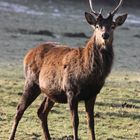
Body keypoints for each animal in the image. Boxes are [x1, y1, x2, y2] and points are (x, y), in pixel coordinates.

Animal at [8, 0, 127, 139]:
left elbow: (91, 122)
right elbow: (75, 121)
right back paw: (11, 136)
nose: (105, 35)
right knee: (19, 109)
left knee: (41, 112)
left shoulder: (93, 94)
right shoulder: (71, 90)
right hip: (31, 81)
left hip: (51, 91)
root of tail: (27, 54)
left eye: (113, 25)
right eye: (97, 26)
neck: (89, 74)